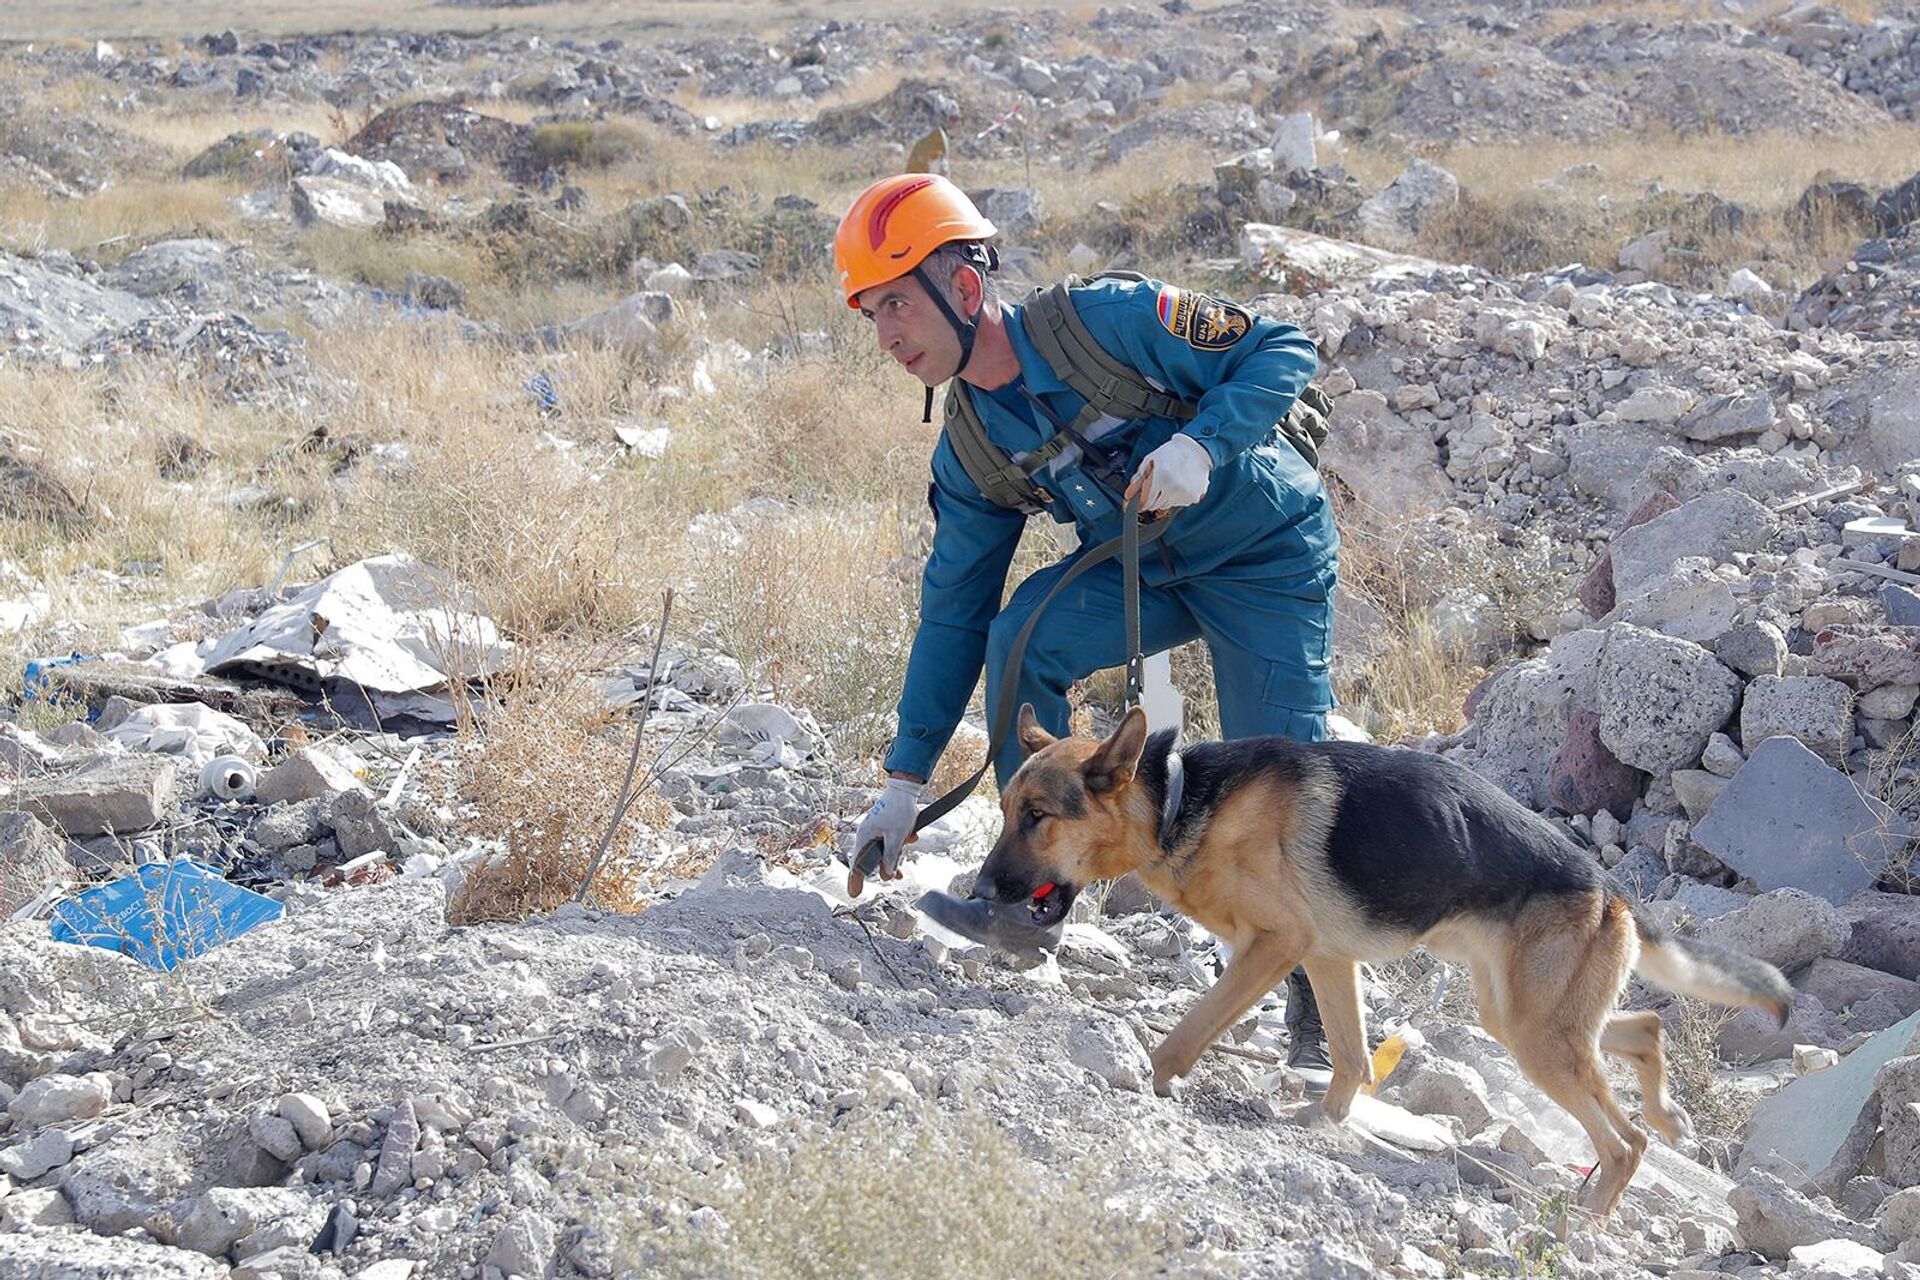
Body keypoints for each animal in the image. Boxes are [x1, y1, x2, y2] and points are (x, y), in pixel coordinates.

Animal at [983, 706, 1789, 1220]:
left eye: (1037, 818)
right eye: (1003, 812)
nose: (981, 892)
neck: (1178, 802)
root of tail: (1608, 885)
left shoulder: (1275, 946)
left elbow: (1187, 1034)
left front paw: (1146, 1083)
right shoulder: (1325, 957)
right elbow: (1351, 1060)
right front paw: (1324, 1127)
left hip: (1539, 1038)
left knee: (1625, 1143)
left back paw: (1585, 1217)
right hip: (1522, 1019)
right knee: (1643, 1029)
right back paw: (1661, 1111)